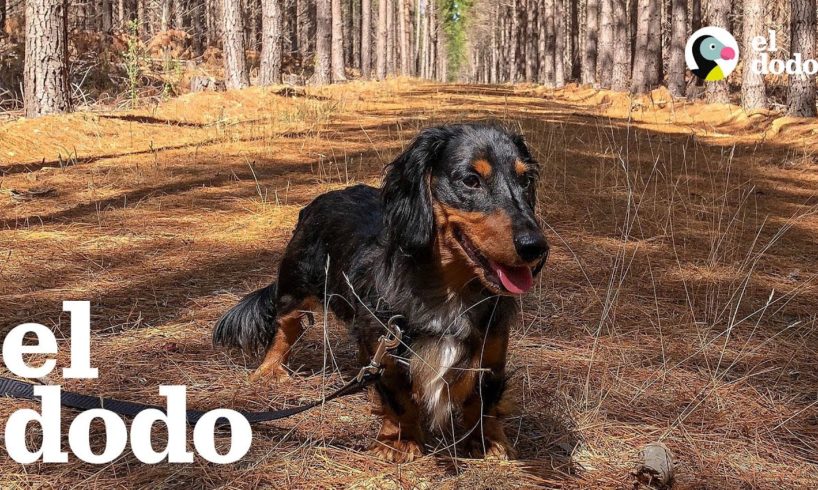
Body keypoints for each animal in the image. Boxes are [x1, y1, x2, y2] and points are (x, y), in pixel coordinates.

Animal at [215, 123, 548, 464]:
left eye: (525, 180)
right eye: (471, 180)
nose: (536, 248)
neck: (449, 291)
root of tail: (316, 202)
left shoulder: (491, 352)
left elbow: (483, 400)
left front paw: (487, 441)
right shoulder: (385, 344)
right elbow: (398, 398)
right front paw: (400, 441)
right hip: (295, 290)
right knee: (284, 331)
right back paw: (268, 370)